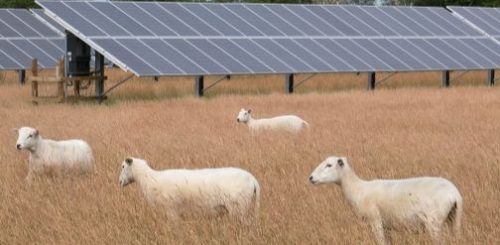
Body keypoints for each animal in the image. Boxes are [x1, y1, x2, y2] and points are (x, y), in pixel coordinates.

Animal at [119, 158, 260, 221]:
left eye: (123, 166)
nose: (119, 182)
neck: (150, 179)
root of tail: (253, 180)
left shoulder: (172, 212)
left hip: (239, 208)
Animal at [308, 156, 464, 244]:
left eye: (329, 165)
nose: (311, 178)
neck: (359, 190)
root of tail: (454, 193)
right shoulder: (386, 225)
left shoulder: (375, 222)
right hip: (453, 219)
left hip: (434, 223)